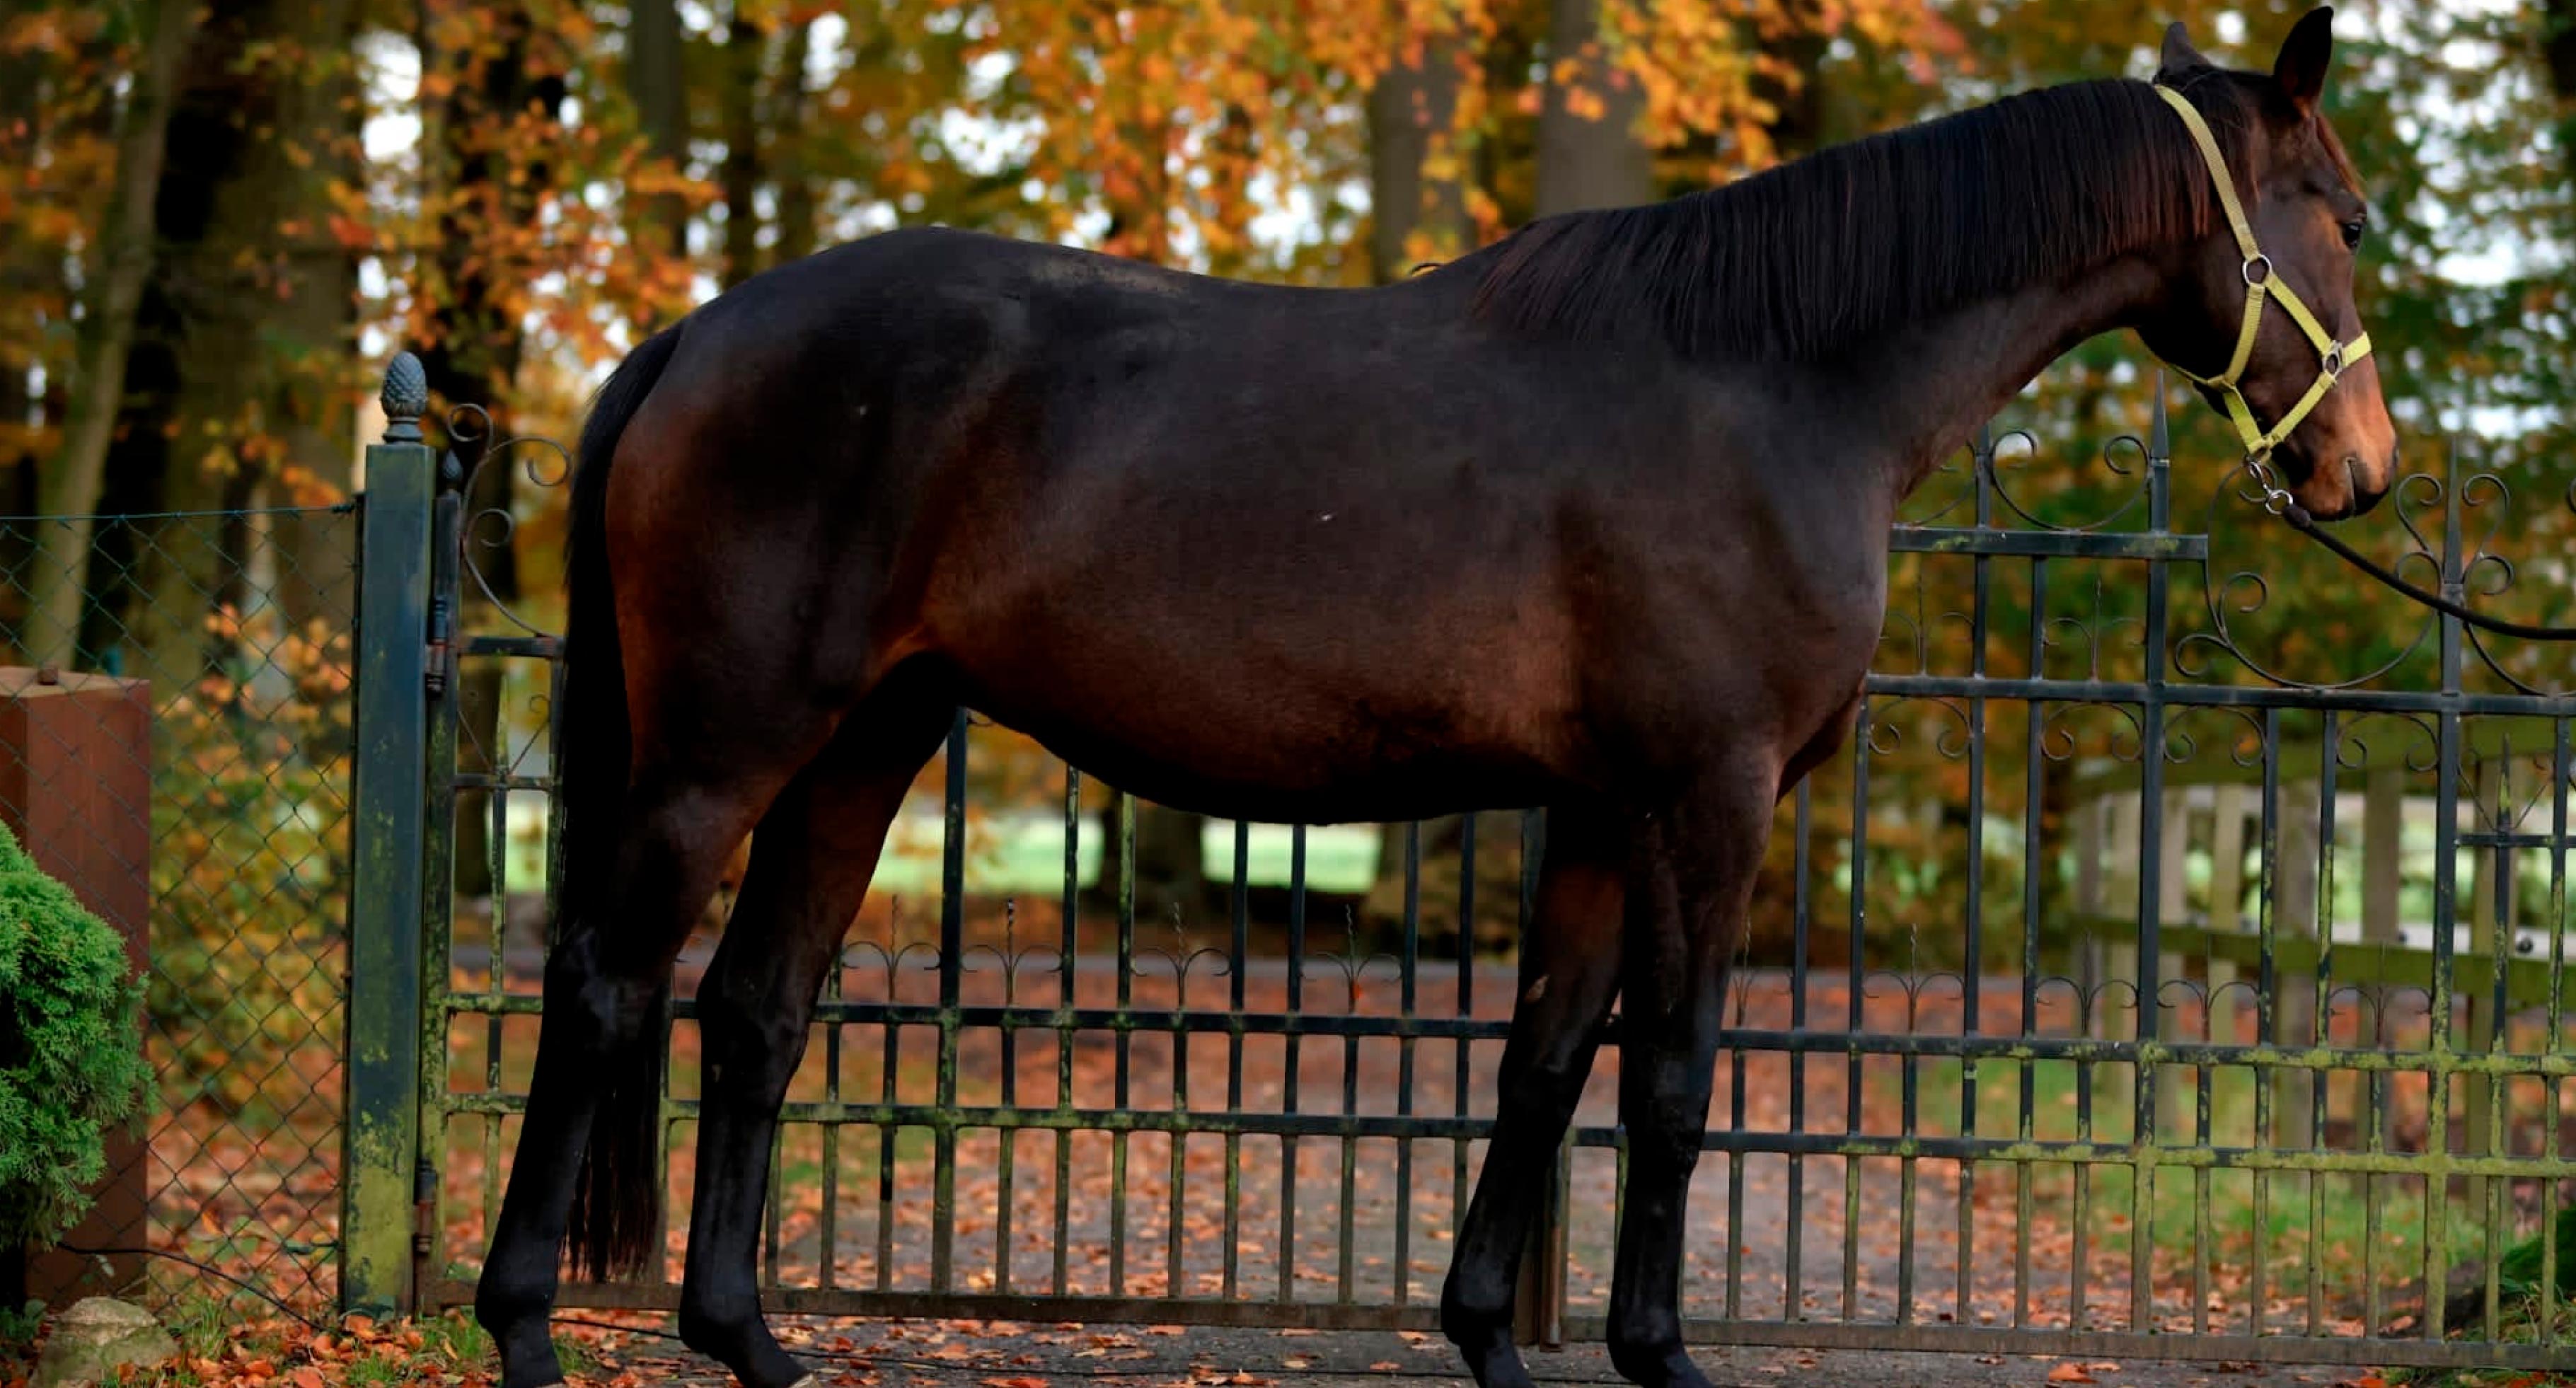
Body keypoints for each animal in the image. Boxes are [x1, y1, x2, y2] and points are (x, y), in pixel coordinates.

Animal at [471, 10, 2394, 1387]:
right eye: (2347, 216)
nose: (2361, 471)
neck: (1772, 381)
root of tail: (700, 335)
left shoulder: (1602, 809)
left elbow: (1543, 1063)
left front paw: (1492, 1338)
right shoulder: (1708, 796)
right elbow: (1672, 1081)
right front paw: (1661, 1357)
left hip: (859, 744)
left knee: (755, 1010)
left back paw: (747, 1340)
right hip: (720, 751)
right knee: (607, 986)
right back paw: (525, 1326)